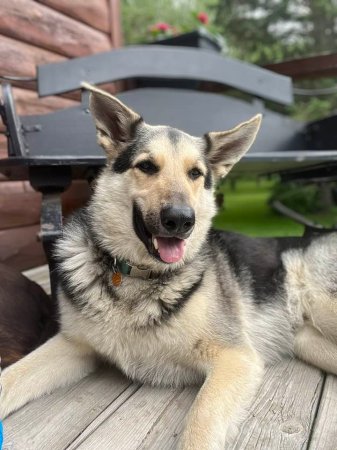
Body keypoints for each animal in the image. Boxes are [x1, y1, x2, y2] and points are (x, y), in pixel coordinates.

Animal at [0, 83, 336, 446]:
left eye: (195, 174)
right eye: (147, 166)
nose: (181, 220)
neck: (134, 274)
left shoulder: (235, 357)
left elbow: (201, 421)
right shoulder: (72, 345)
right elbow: (10, 379)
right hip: (309, 341)